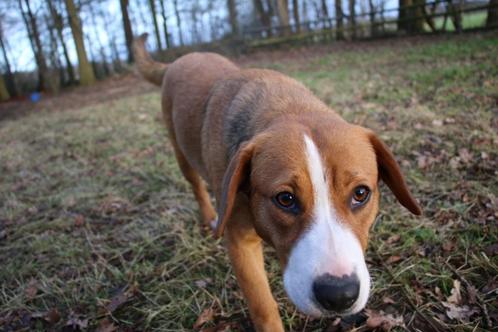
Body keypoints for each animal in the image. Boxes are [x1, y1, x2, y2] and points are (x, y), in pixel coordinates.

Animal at [132, 35, 420, 330]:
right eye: (285, 199)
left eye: (361, 193)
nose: (339, 295)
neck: (288, 107)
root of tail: (176, 62)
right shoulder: (240, 243)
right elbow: (262, 304)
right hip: (182, 156)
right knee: (196, 186)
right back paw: (210, 217)